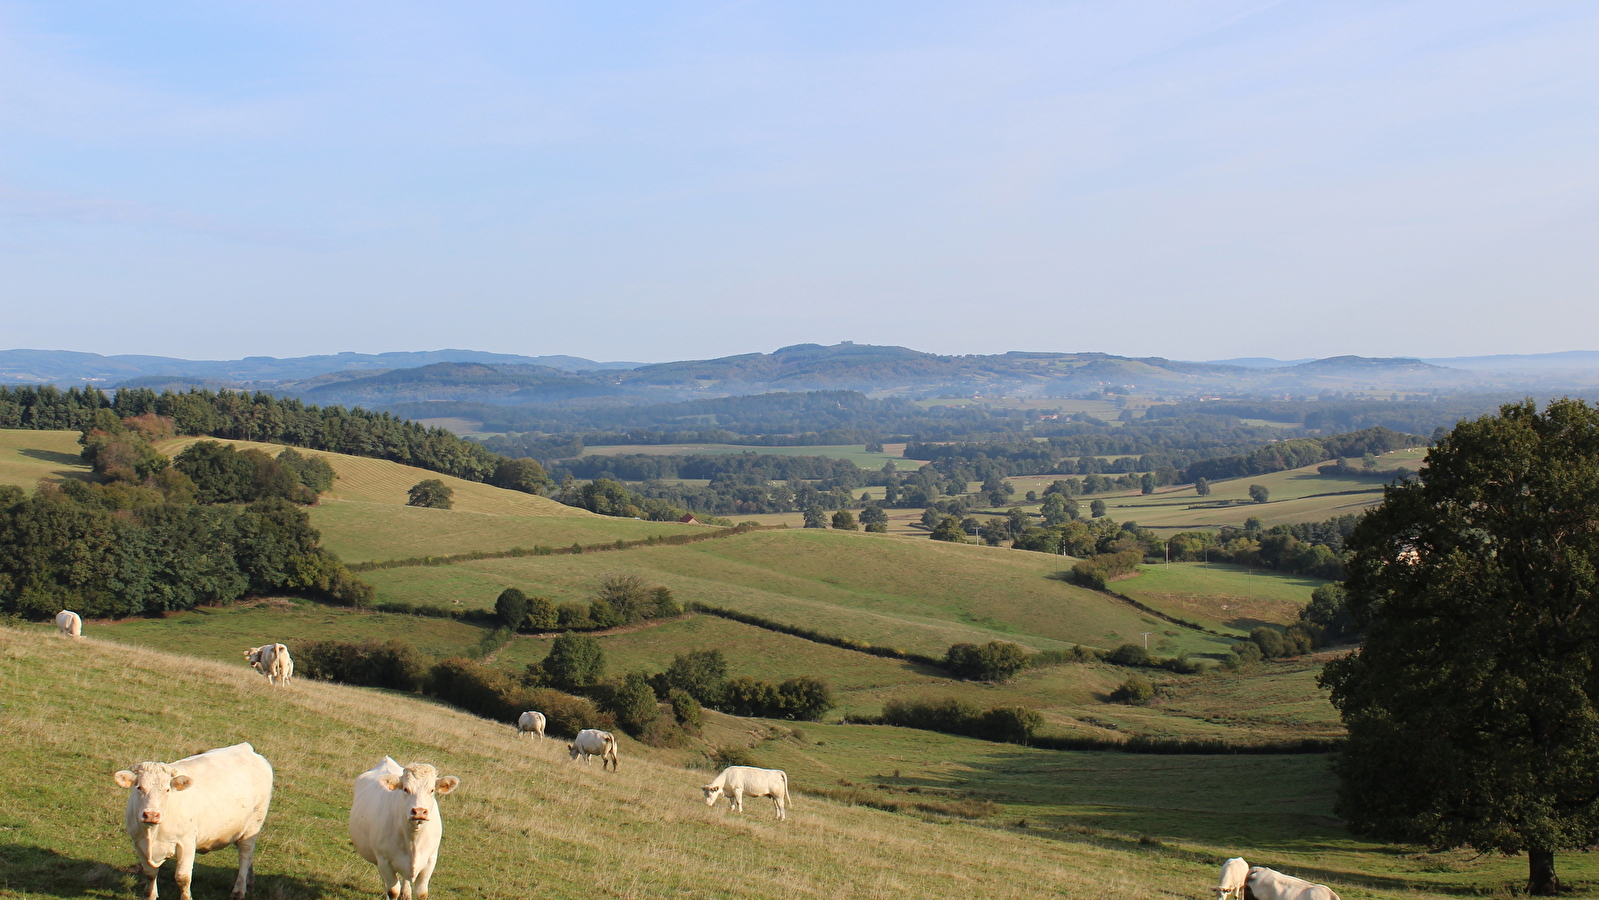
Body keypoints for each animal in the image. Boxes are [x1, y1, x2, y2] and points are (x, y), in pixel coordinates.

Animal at [112, 741, 275, 900]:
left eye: (167, 790)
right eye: (139, 787)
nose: (151, 814)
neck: (153, 835)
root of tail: (245, 747)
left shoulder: (187, 842)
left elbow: (182, 877)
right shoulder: (138, 842)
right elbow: (150, 874)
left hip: (254, 822)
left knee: (245, 853)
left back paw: (239, 890)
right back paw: (250, 881)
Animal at [345, 757, 457, 895]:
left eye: (432, 790)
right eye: (405, 789)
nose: (419, 811)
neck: (413, 840)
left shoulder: (431, 860)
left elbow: (421, 892)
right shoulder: (384, 861)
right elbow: (392, 891)